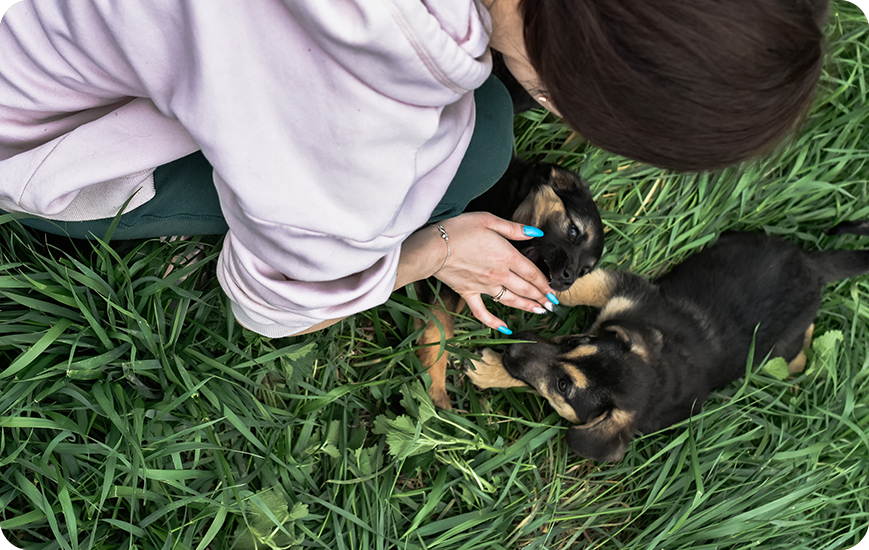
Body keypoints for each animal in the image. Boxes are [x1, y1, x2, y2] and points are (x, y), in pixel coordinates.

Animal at [472, 227, 869, 462]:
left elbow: (529, 378)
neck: (660, 372)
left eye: (563, 386)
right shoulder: (629, 293)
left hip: (783, 346)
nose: (511, 350)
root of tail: (813, 267)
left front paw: (490, 370)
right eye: (574, 339)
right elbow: (581, 287)